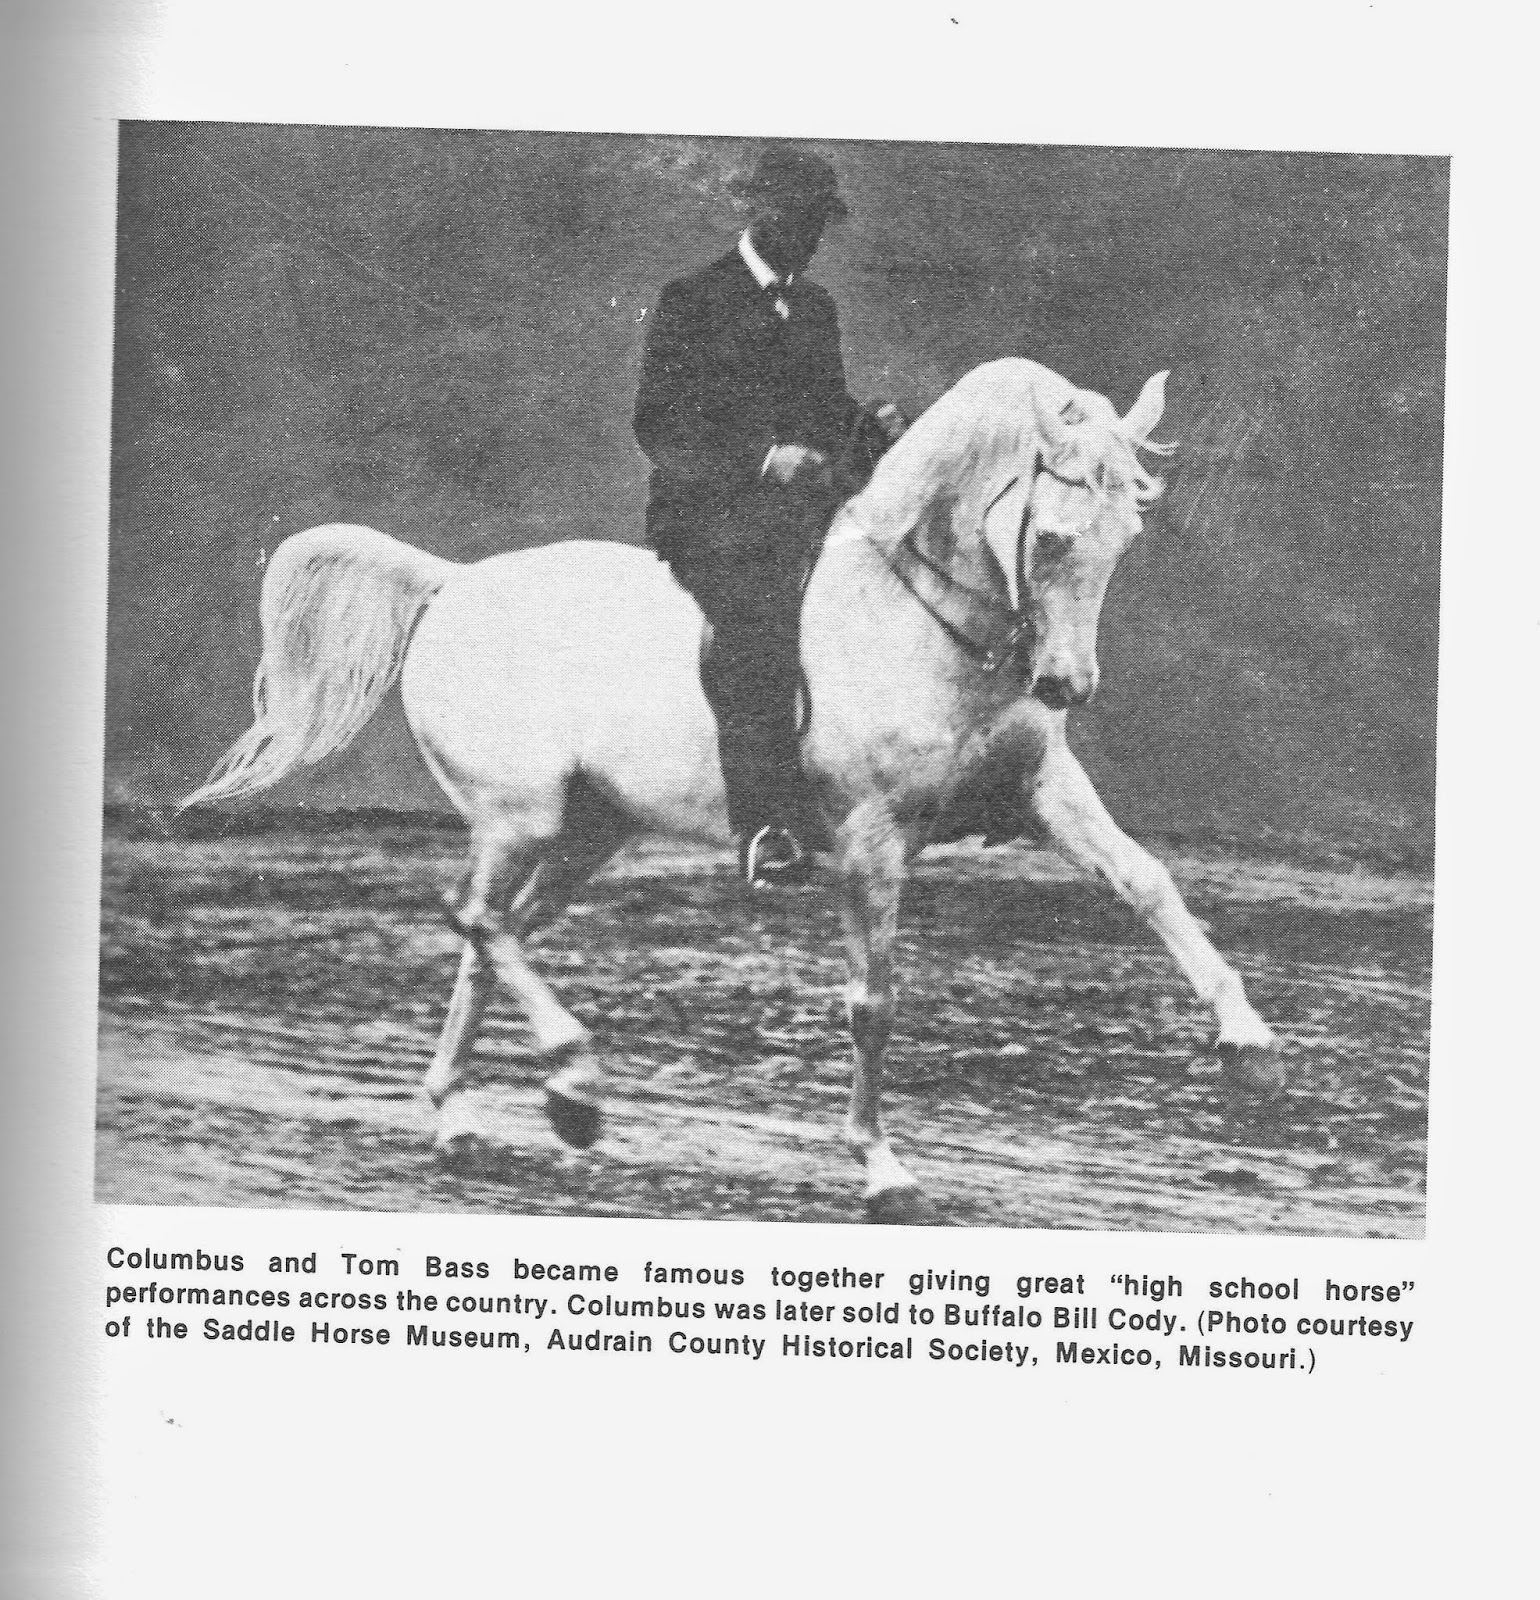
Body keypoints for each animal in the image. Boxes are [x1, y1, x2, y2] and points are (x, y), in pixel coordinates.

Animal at [183, 357, 1280, 1224]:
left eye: (1125, 535)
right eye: (1049, 539)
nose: (1066, 686)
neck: (917, 620)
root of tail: (454, 582)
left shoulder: (1044, 789)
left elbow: (1147, 884)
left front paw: (1249, 1043)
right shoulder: (872, 839)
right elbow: (873, 1003)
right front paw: (882, 1169)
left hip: (586, 834)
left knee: (490, 943)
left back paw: (466, 1112)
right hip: (517, 817)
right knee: (477, 921)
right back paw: (573, 1081)